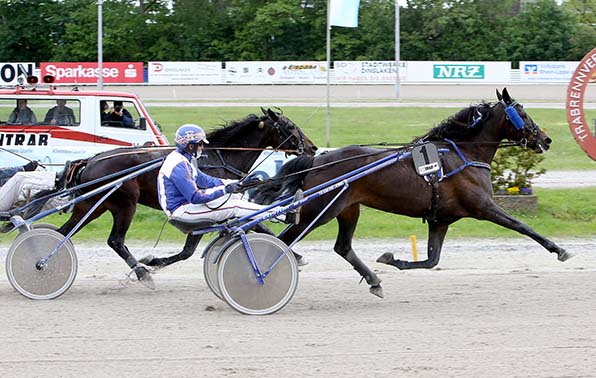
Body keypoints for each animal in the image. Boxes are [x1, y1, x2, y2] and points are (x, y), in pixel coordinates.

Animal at [38, 108, 316, 286]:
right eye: (290, 126)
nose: (312, 147)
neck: (217, 156)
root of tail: (90, 161)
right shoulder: (208, 207)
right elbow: (192, 249)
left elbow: (255, 225)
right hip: (124, 204)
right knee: (115, 240)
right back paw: (142, 273)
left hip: (91, 206)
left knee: (64, 233)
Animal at [253, 88, 572, 298]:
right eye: (523, 113)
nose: (546, 139)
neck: (463, 153)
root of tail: (318, 160)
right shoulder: (483, 207)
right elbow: (522, 225)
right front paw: (559, 249)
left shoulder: (440, 219)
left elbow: (432, 260)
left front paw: (391, 260)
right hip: (321, 211)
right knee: (284, 242)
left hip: (347, 208)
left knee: (342, 247)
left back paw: (374, 280)